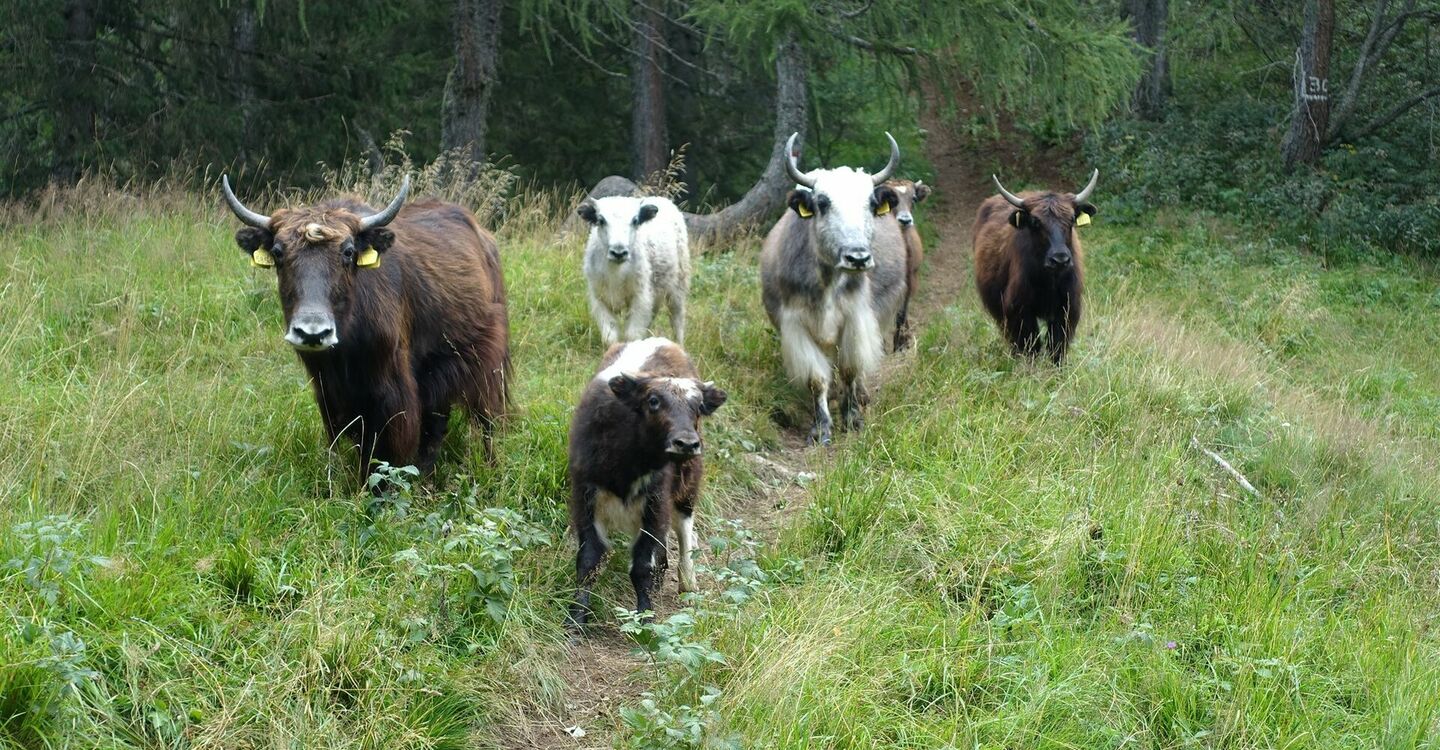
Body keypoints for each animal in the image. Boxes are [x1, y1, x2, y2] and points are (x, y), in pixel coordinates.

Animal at [564, 336, 725, 621]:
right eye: (653, 401)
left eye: (697, 407)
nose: (687, 443)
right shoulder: (585, 499)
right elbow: (588, 560)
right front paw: (576, 618)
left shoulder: (655, 505)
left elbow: (641, 565)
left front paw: (646, 618)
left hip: (687, 486)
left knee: (684, 530)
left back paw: (688, 582)